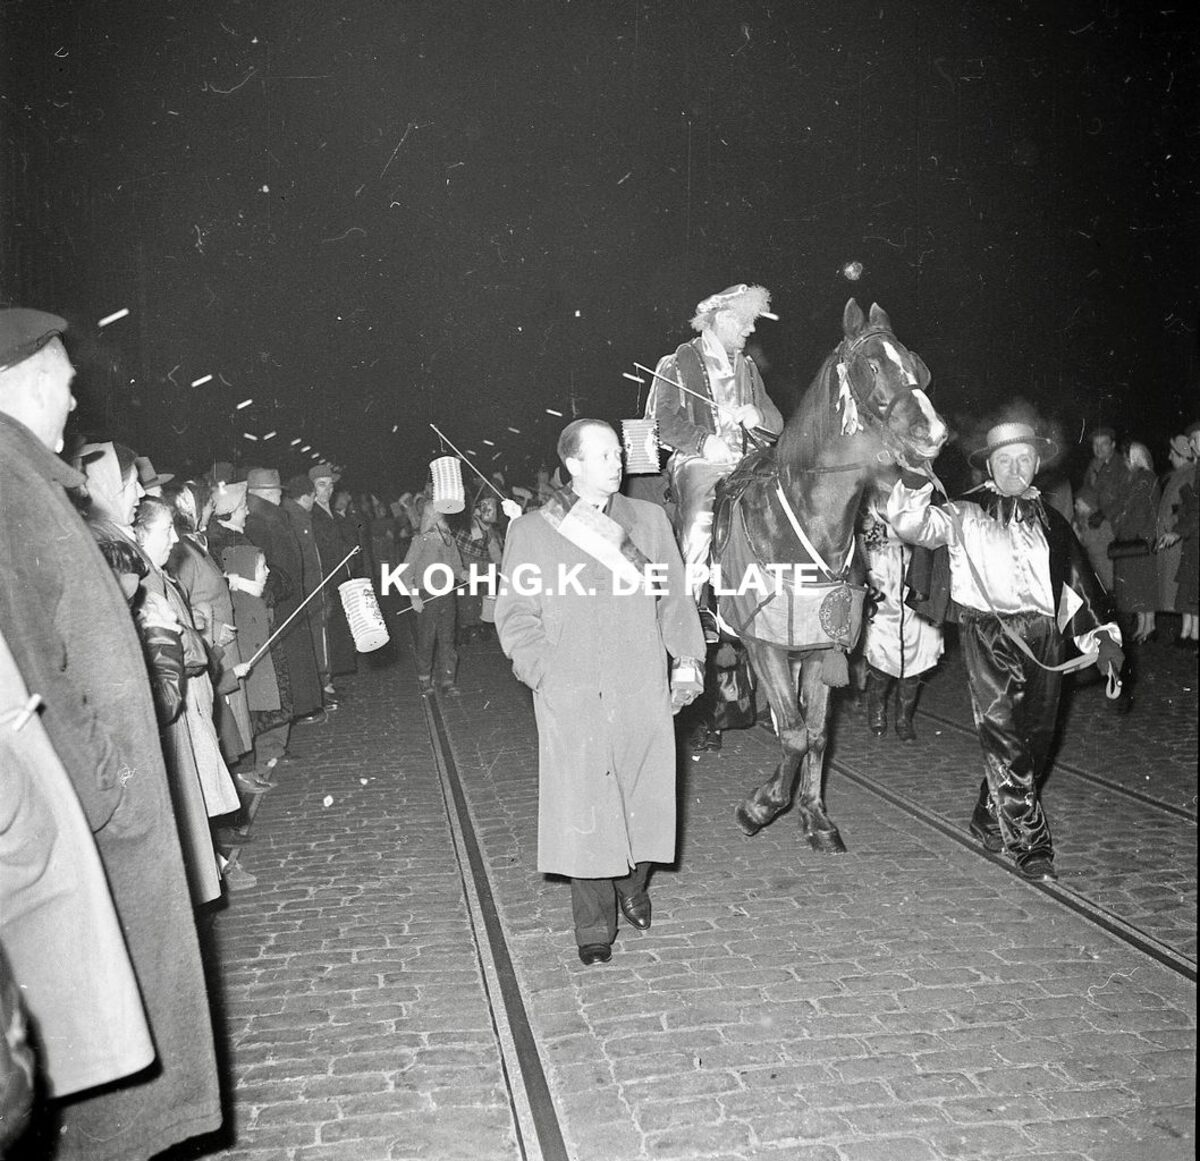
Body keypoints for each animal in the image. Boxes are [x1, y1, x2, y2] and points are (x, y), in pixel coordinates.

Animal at [713, 298, 948, 852]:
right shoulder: (764, 645)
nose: (933, 433)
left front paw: (814, 816)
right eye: (872, 367)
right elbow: (795, 733)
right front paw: (760, 807)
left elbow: (815, 734)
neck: (805, 528)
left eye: (917, 365)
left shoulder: (821, 648)